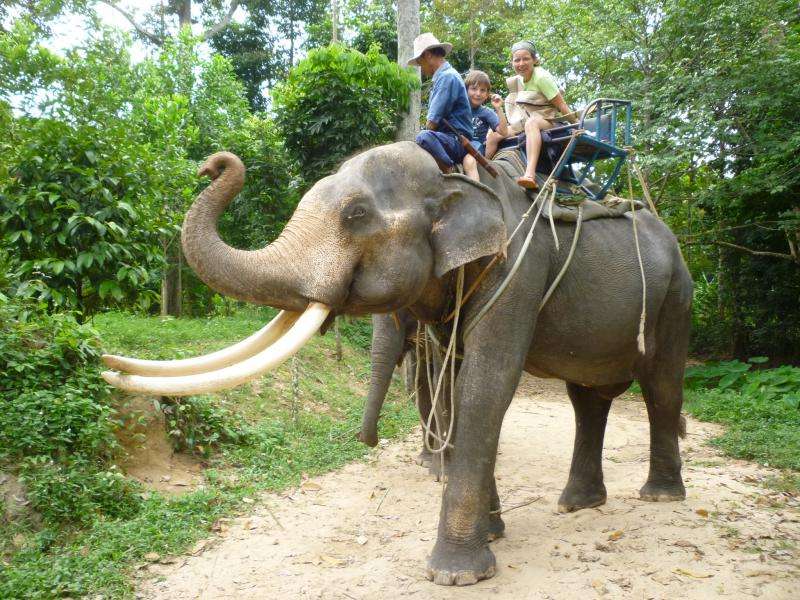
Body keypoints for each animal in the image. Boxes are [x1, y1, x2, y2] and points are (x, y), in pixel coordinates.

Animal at [102, 141, 693, 586]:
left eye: (355, 215)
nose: (212, 164)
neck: (457, 178)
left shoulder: (517, 272)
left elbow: (486, 384)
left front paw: (456, 574)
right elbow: (454, 383)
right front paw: (492, 534)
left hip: (675, 297)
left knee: (661, 386)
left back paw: (659, 496)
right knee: (588, 397)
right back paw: (578, 504)